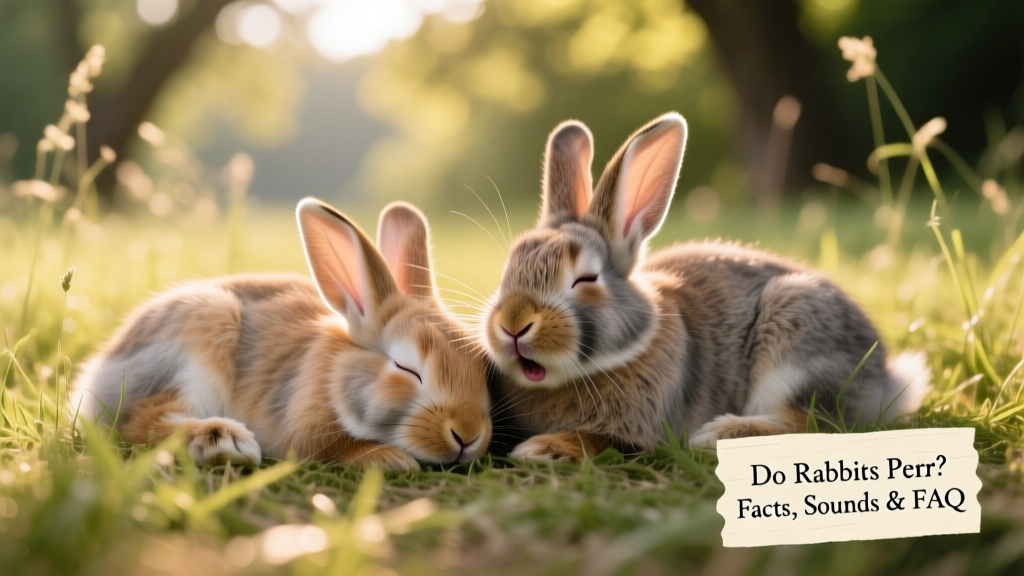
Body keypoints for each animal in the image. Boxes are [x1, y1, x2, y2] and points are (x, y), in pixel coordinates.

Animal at [72, 198, 492, 471]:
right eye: (407, 369)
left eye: (481, 369)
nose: (468, 435)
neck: (334, 373)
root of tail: (95, 374)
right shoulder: (304, 426)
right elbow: (333, 448)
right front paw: (389, 459)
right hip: (205, 334)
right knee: (142, 421)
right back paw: (225, 441)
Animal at [482, 112, 931, 461]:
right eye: (508, 269)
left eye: (586, 279)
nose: (513, 324)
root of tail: (886, 380)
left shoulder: (640, 430)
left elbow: (601, 442)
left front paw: (540, 449)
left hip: (797, 344)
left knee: (811, 422)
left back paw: (720, 434)